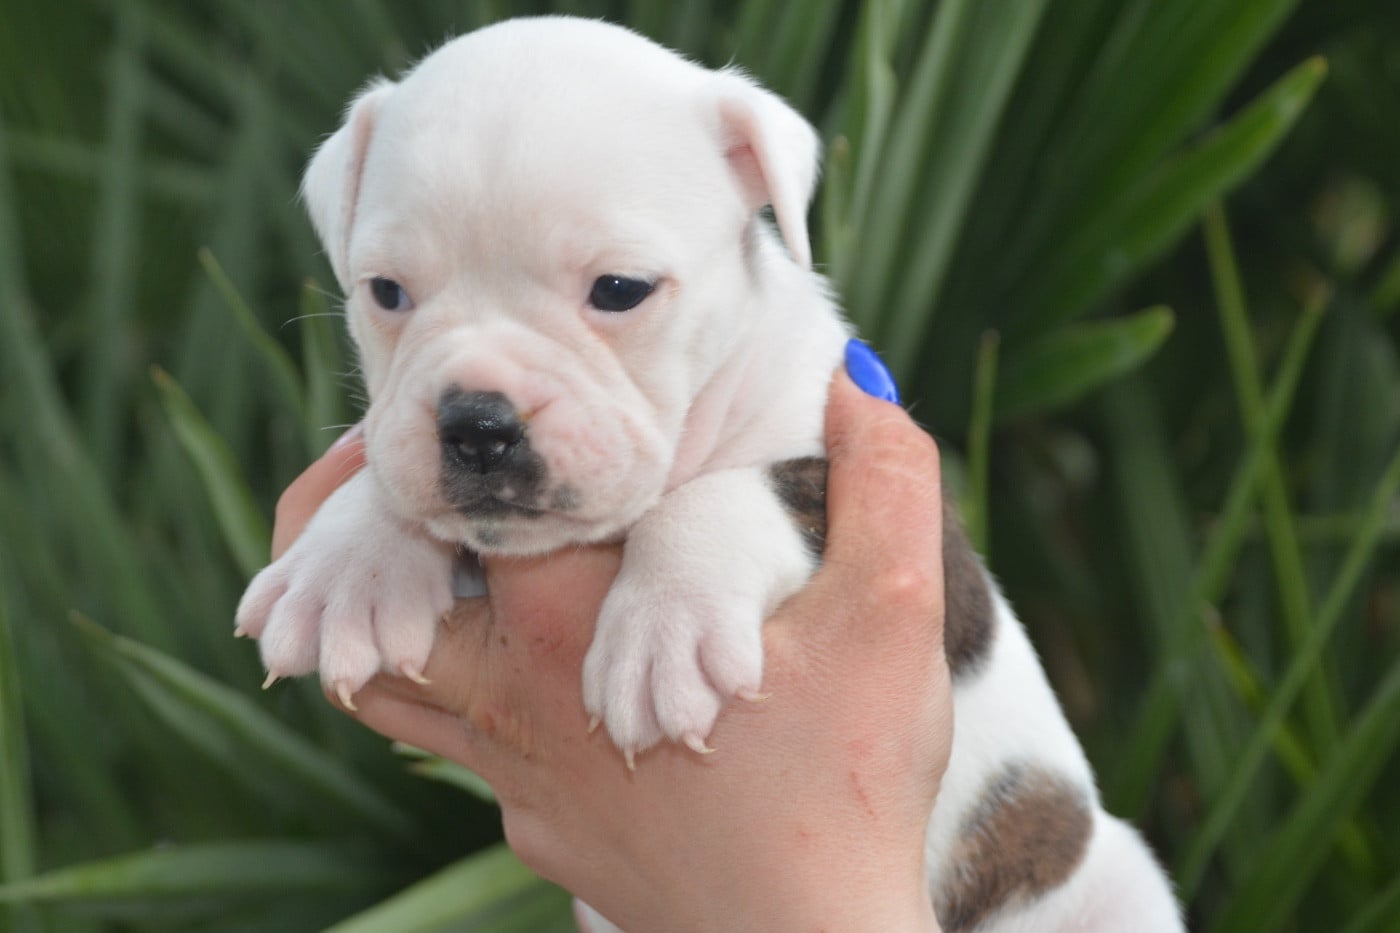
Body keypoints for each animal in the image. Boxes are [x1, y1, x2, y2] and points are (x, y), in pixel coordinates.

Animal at [235, 16, 1183, 931]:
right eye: (386, 292)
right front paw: (348, 569)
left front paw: (666, 625)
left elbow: (736, 488)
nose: (477, 424)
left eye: (620, 289)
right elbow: (381, 471)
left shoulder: (862, 487)